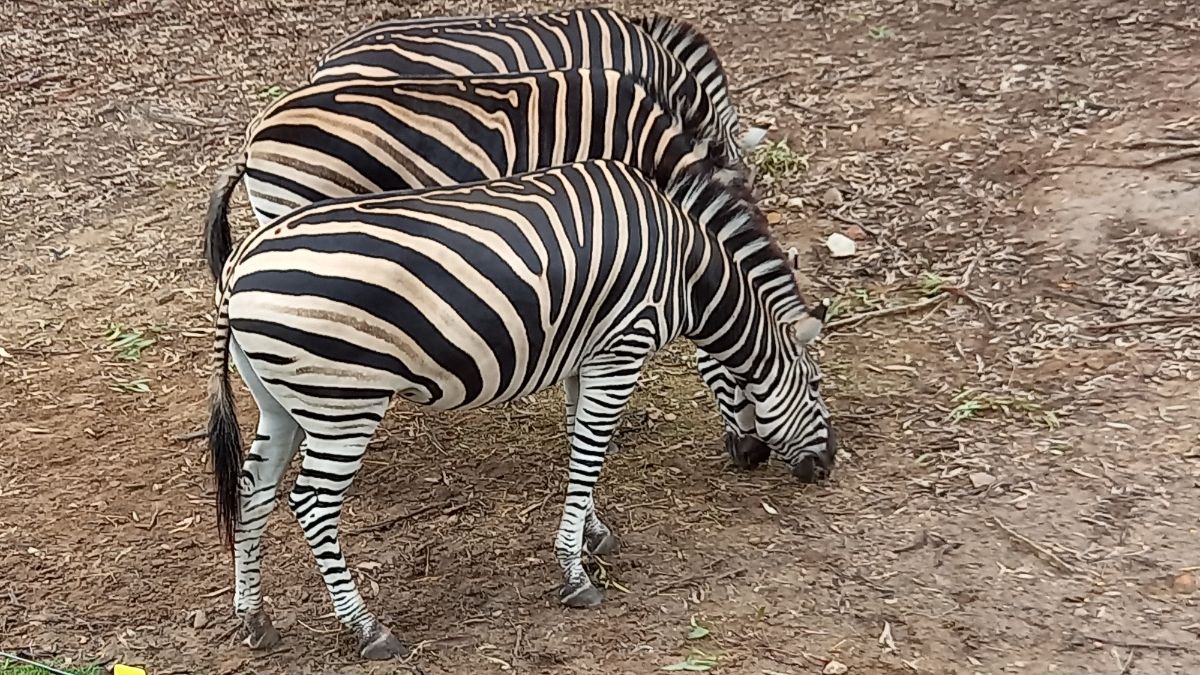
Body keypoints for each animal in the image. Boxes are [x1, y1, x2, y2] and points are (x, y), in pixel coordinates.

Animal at [206, 158, 834, 660]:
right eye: (815, 384)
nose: (826, 467)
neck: (685, 270)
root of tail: (237, 267)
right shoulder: (621, 349)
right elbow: (590, 454)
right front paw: (575, 572)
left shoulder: (588, 356)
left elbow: (582, 446)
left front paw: (592, 532)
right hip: (344, 403)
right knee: (312, 504)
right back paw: (368, 629)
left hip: (280, 403)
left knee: (252, 488)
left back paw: (255, 619)